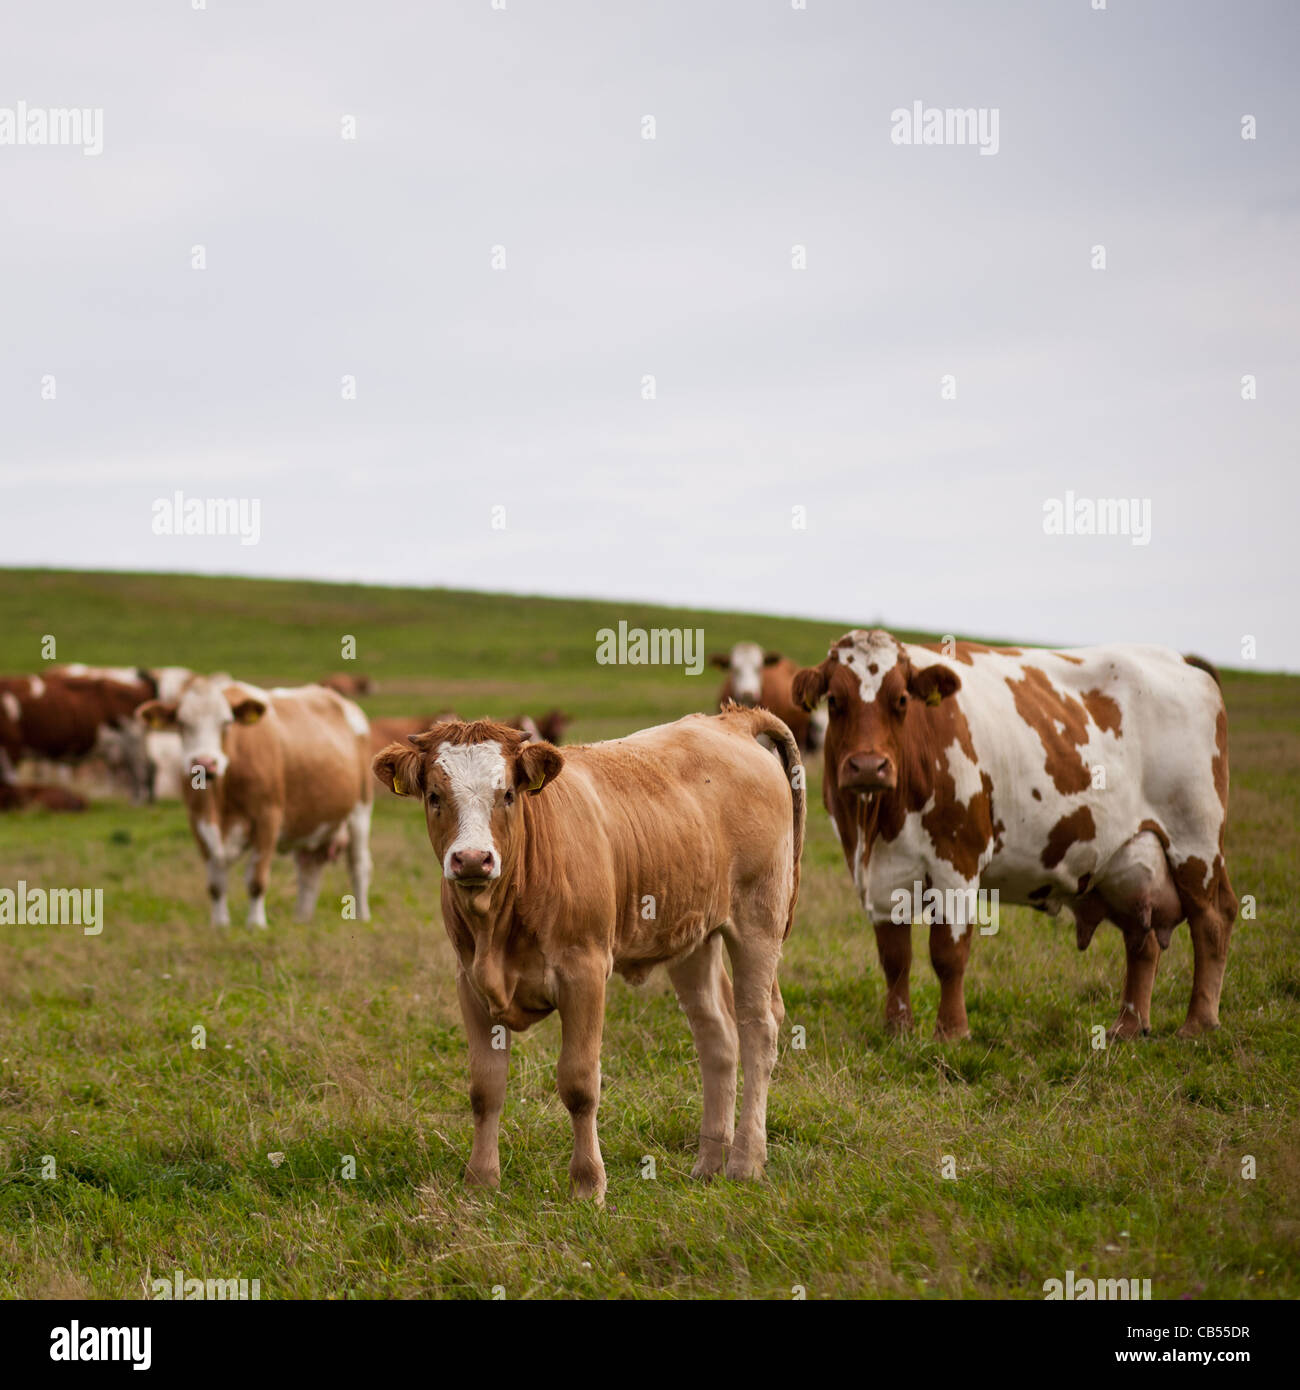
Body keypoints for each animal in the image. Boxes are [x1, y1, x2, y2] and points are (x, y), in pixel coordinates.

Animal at [137, 676, 373, 928]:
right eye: (182, 724)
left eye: (226, 723)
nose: (205, 762)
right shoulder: (198, 823)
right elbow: (216, 884)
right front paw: (219, 925)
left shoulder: (267, 818)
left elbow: (256, 880)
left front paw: (256, 924)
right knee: (309, 871)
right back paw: (302, 920)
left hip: (360, 812)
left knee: (359, 866)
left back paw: (362, 916)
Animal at [372, 707, 804, 1201]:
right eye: (434, 796)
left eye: (507, 794)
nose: (472, 859)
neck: (498, 922)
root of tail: (730, 721)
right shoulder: (471, 984)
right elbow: (485, 1088)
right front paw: (480, 1180)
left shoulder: (585, 974)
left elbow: (579, 1084)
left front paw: (588, 1184)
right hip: (692, 938)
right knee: (717, 1036)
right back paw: (709, 1163)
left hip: (758, 920)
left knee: (758, 1029)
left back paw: (745, 1161)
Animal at [793, 630, 1236, 1042]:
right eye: (835, 700)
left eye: (901, 700)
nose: (868, 766)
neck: (879, 821)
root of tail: (1181, 659)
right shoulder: (878, 875)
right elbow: (895, 958)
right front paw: (897, 1030)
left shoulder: (957, 863)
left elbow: (948, 954)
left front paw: (952, 1032)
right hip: (1132, 859)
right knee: (1141, 938)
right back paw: (1127, 1025)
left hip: (1195, 843)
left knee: (1213, 920)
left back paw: (1198, 1023)